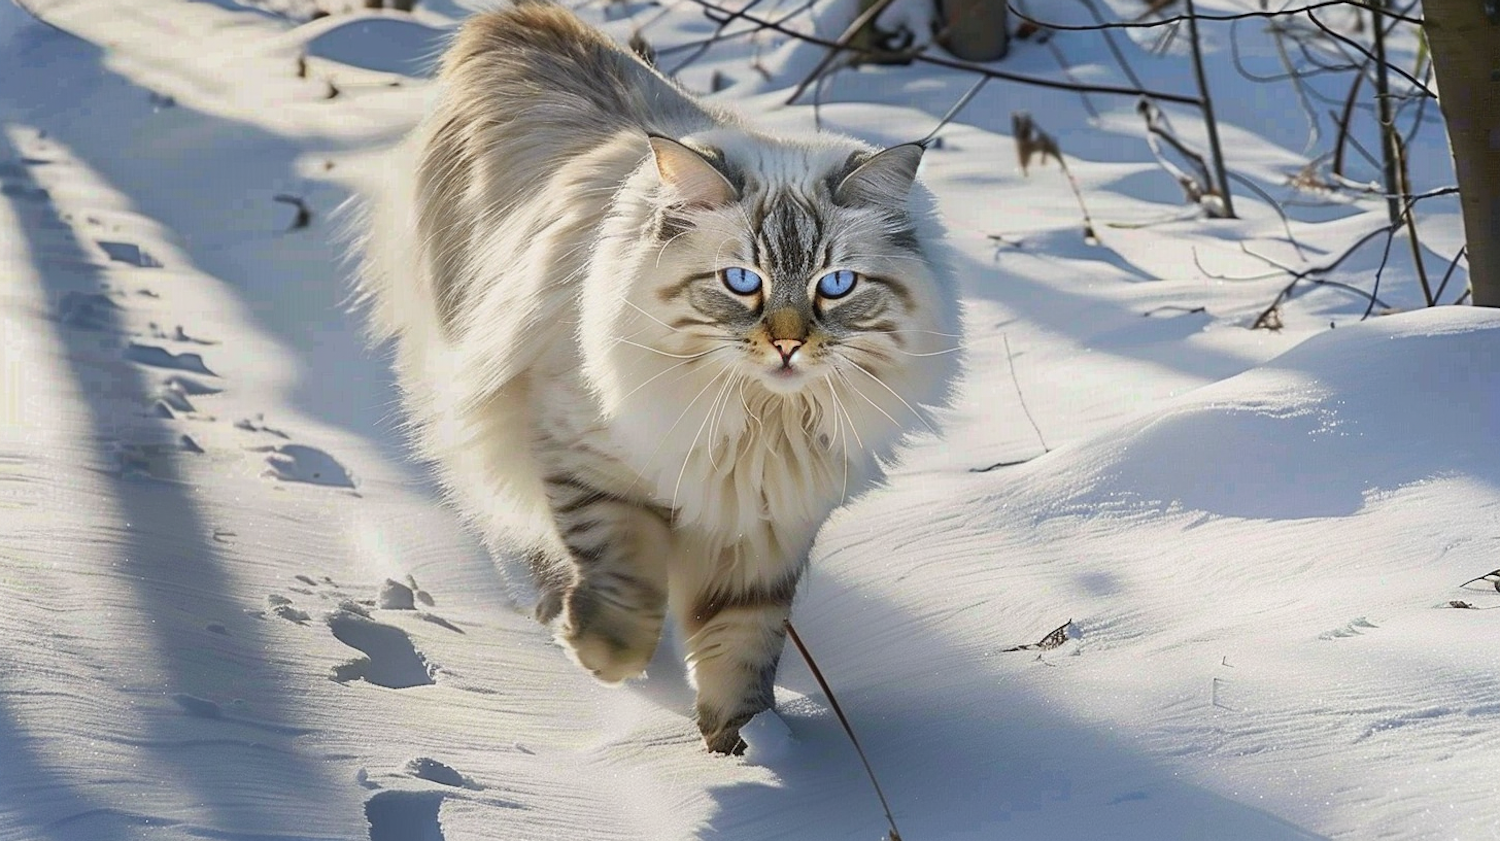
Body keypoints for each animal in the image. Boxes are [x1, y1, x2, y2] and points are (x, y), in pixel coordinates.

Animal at [354, 0, 960, 746]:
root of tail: (524, 15)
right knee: (521, 529)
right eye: (741, 281)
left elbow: (740, 647)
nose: (788, 345)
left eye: (836, 285)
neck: (760, 424)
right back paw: (554, 615)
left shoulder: (766, 525)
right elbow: (624, 580)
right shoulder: (583, 457)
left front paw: (751, 747)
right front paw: (602, 657)